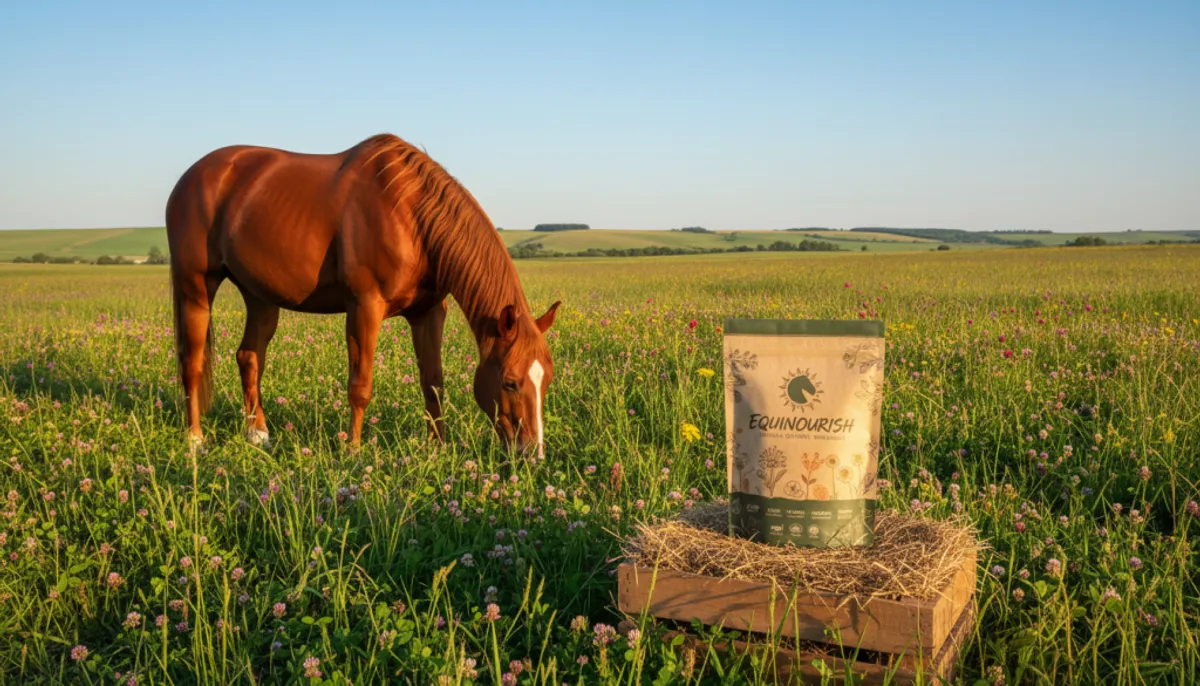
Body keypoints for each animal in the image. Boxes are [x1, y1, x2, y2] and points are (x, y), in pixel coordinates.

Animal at [164, 132, 561, 457]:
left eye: (547, 380)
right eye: (511, 382)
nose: (532, 454)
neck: (411, 216)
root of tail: (191, 177)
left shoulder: (429, 312)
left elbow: (433, 382)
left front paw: (439, 447)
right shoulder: (364, 308)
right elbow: (360, 385)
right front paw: (353, 451)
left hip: (260, 296)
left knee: (249, 357)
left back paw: (258, 435)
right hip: (196, 287)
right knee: (192, 362)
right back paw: (195, 440)